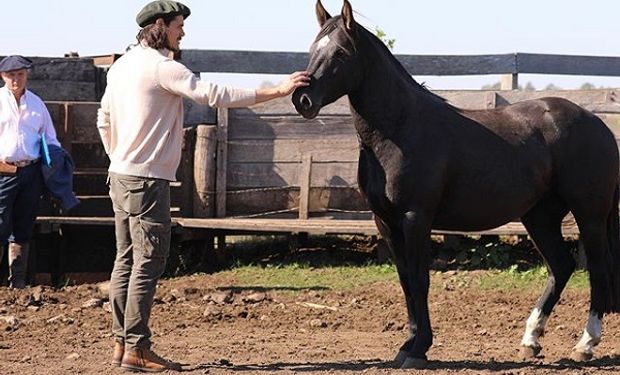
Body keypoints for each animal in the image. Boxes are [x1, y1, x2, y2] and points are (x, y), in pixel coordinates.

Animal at [294, 0, 620, 370]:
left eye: (340, 53)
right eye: (312, 50)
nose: (302, 99)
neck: (400, 128)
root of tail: (597, 124)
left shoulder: (415, 218)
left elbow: (420, 279)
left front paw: (419, 348)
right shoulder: (386, 222)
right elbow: (406, 282)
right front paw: (407, 345)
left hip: (589, 216)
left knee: (597, 271)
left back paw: (586, 343)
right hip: (540, 217)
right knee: (561, 267)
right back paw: (530, 340)